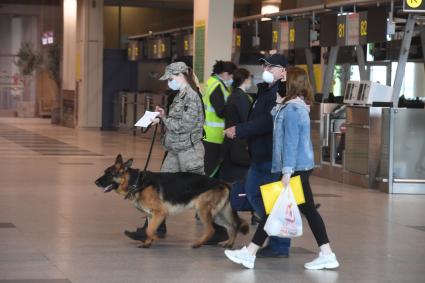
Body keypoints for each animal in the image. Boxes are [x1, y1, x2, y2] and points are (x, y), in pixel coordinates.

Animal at [95, 155, 248, 248]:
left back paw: (198, 244)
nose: (95, 182)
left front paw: (152, 239)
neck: (137, 182)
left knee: (211, 229)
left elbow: (150, 230)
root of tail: (222, 182)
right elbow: (148, 229)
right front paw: (147, 243)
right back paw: (229, 243)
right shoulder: (151, 215)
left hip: (203, 211)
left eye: (110, 174)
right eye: (104, 172)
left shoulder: (160, 213)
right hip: (217, 215)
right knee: (232, 226)